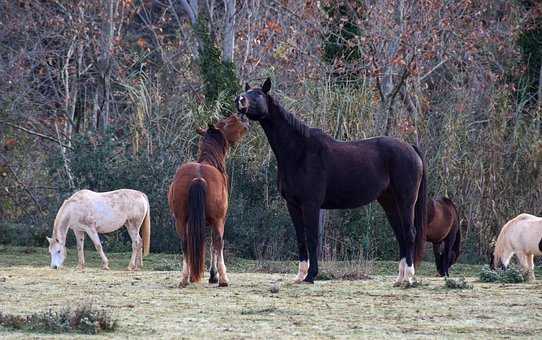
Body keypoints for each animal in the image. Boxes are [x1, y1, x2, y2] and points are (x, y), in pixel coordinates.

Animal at [168, 114, 249, 286]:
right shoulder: (218, 220)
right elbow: (214, 244)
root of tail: (198, 178)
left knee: (185, 243)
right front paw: (213, 275)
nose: (243, 117)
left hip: (180, 220)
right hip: (218, 220)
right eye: (228, 121)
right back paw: (223, 279)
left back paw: (185, 278)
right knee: (218, 242)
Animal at [236, 79, 428, 284]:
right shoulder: (293, 205)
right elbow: (301, 238)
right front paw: (300, 275)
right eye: (247, 92)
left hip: (406, 200)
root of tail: (410, 148)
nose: (239, 100)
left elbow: (312, 238)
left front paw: (311, 275)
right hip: (389, 202)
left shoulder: (311, 204)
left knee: (409, 233)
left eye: (258, 94)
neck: (299, 152)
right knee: (401, 235)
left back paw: (408, 277)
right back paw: (399, 279)